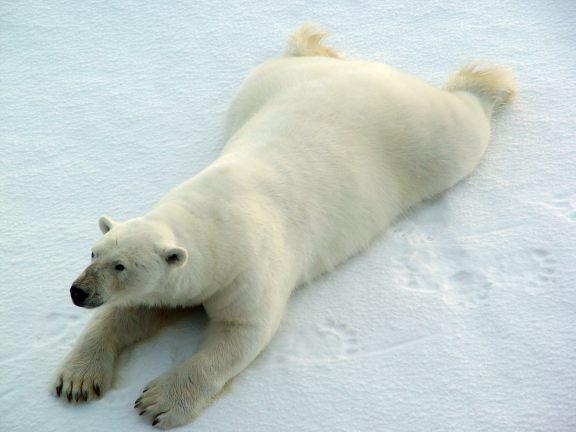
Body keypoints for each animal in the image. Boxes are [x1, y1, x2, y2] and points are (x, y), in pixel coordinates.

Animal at [53, 23, 512, 428]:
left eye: (121, 266)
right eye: (94, 252)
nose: (78, 291)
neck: (211, 218)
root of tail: (364, 70)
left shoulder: (249, 267)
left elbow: (241, 333)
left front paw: (160, 402)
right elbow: (131, 312)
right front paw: (78, 380)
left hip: (421, 138)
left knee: (461, 131)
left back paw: (486, 83)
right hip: (265, 86)